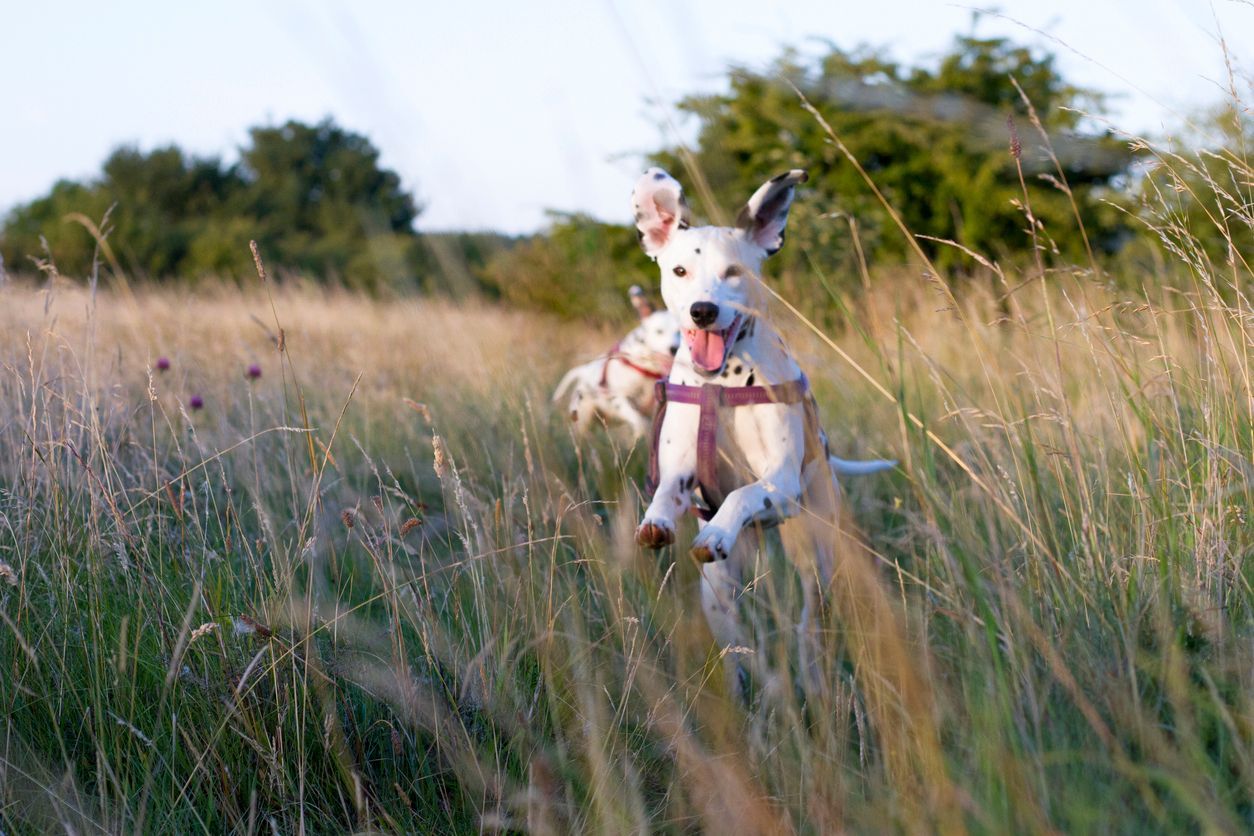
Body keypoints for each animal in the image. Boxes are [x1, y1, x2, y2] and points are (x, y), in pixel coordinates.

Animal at [554, 285, 682, 438]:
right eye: (659, 331)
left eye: (681, 331)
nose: (674, 348)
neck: (647, 368)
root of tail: (585, 371)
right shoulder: (618, 398)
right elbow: (640, 422)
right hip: (582, 417)